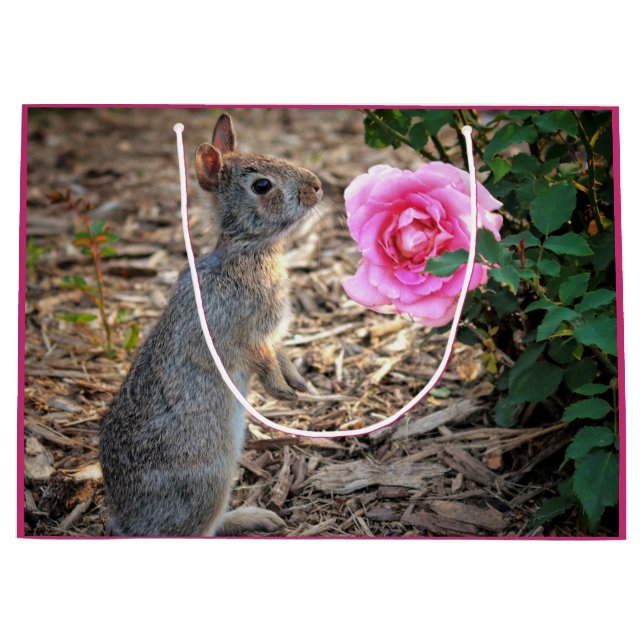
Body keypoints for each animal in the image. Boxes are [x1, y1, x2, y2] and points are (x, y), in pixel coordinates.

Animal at [99, 113, 322, 536]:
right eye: (262, 185)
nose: (316, 186)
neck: (249, 249)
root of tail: (126, 522)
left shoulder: (272, 336)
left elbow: (280, 354)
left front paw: (301, 385)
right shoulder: (244, 335)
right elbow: (261, 359)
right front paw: (283, 391)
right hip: (211, 479)